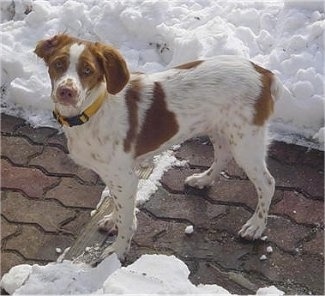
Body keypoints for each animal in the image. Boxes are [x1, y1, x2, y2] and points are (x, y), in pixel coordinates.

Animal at [34, 34, 280, 260]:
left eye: (87, 70)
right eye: (58, 64)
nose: (66, 92)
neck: (95, 109)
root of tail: (264, 73)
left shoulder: (124, 177)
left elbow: (127, 220)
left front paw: (117, 250)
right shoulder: (115, 175)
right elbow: (117, 203)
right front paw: (112, 220)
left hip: (247, 141)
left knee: (267, 183)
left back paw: (255, 226)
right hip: (221, 129)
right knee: (223, 156)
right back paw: (203, 180)